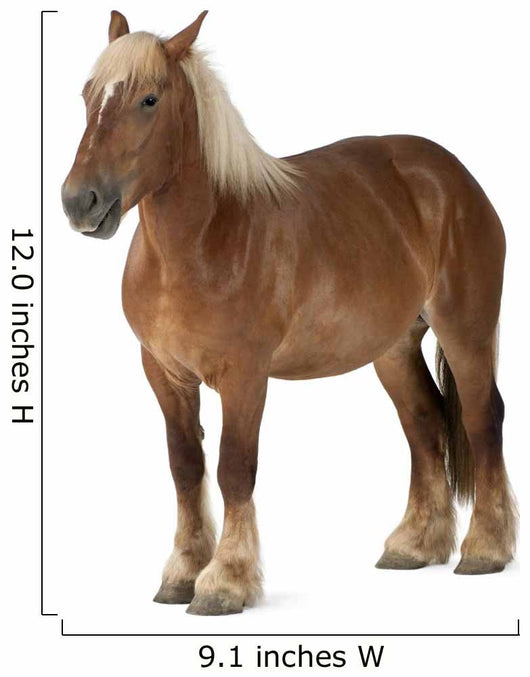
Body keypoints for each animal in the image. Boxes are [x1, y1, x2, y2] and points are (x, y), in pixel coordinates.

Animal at [61, 10, 517, 616]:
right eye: (89, 93)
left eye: (149, 99)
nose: (79, 202)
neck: (205, 240)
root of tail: (453, 177)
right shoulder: (164, 373)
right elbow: (185, 467)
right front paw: (181, 573)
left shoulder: (244, 377)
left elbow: (234, 467)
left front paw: (224, 582)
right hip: (393, 347)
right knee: (423, 423)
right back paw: (414, 545)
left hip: (466, 328)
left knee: (481, 419)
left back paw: (485, 549)